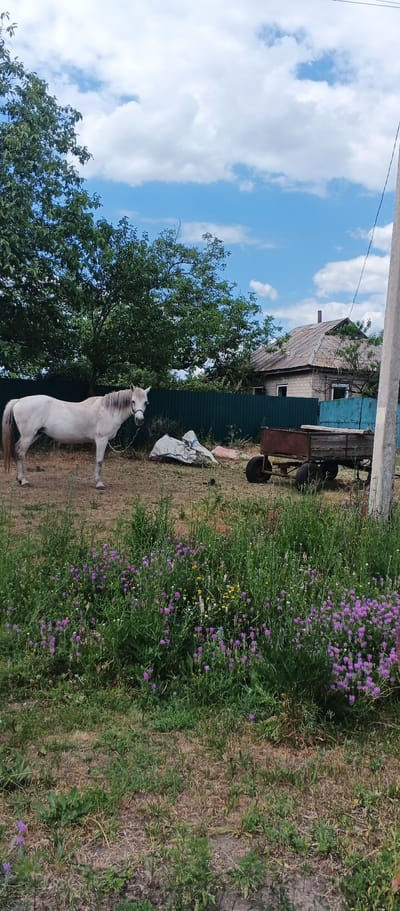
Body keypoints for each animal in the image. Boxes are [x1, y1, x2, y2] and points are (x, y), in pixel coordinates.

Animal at [1, 386, 150, 489]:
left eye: (146, 402)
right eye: (132, 401)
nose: (140, 420)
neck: (107, 410)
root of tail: (19, 401)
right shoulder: (101, 440)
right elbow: (99, 461)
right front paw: (99, 483)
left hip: (34, 435)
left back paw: (20, 479)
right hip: (28, 436)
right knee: (20, 452)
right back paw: (23, 481)